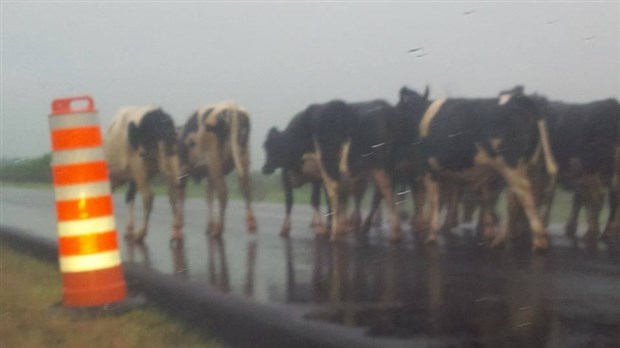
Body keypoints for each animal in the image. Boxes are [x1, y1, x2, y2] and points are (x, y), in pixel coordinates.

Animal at [177, 101, 256, 237]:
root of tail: (231, 105)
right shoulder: (209, 174)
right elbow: (209, 195)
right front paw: (209, 226)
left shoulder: (183, 169)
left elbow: (182, 194)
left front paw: (180, 224)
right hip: (243, 155)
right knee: (246, 188)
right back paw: (251, 224)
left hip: (214, 159)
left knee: (223, 192)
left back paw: (219, 229)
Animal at [398, 86, 556, 250]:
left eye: (399, 106)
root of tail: (518, 99)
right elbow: (469, 197)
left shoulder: (428, 168)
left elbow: (434, 199)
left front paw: (431, 235)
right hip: (530, 165)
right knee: (517, 200)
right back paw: (501, 239)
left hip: (510, 166)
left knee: (525, 195)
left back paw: (539, 241)